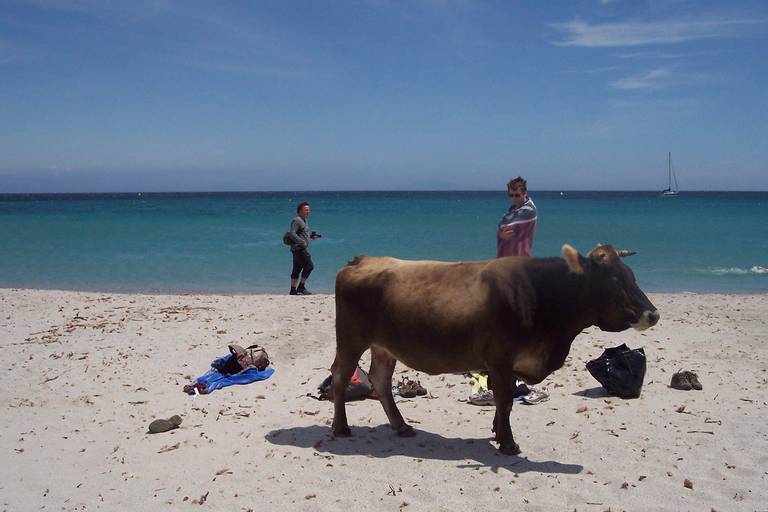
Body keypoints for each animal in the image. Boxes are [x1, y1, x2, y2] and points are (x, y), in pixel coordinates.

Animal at [330, 245, 660, 456]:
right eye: (614, 279)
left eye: (632, 275)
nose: (653, 314)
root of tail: (362, 259)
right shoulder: (500, 360)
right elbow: (505, 402)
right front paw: (508, 443)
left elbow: (504, 403)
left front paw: (498, 432)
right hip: (350, 339)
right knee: (341, 377)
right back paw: (341, 428)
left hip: (384, 346)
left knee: (380, 379)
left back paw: (401, 426)